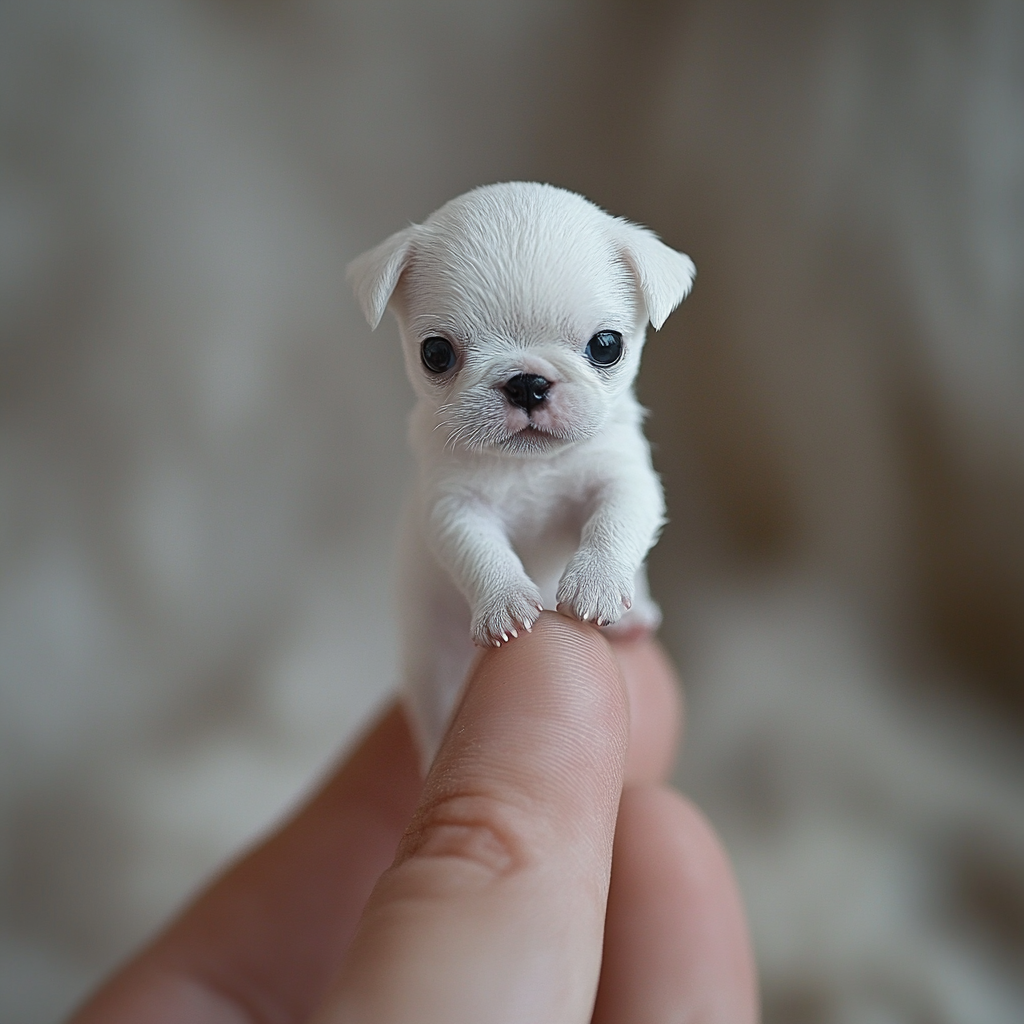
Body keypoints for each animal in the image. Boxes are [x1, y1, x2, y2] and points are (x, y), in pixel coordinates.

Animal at [348, 182, 692, 761]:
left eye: (607, 346)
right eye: (435, 354)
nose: (527, 382)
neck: (528, 466)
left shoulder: (624, 480)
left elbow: (613, 524)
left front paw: (596, 585)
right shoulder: (454, 508)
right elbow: (481, 552)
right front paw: (505, 602)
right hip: (431, 665)